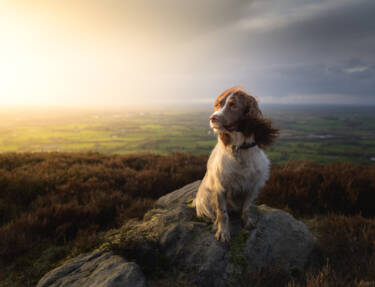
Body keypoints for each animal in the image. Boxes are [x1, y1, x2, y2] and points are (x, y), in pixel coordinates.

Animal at [194, 87, 280, 243]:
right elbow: (222, 213)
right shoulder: (220, 187)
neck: (240, 149)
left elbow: (246, 207)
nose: (212, 118)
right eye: (218, 105)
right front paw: (223, 232)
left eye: (233, 105)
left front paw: (246, 222)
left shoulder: (253, 185)